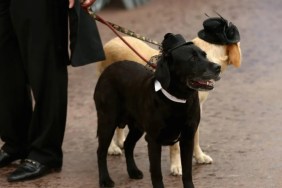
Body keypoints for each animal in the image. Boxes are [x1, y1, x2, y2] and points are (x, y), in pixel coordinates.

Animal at [96, 15, 240, 176]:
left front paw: (199, 157)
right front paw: (176, 166)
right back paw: (111, 148)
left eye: (203, 56)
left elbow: (195, 137)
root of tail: (108, 43)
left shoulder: (195, 114)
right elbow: (175, 146)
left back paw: (120, 141)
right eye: (192, 59)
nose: (217, 68)